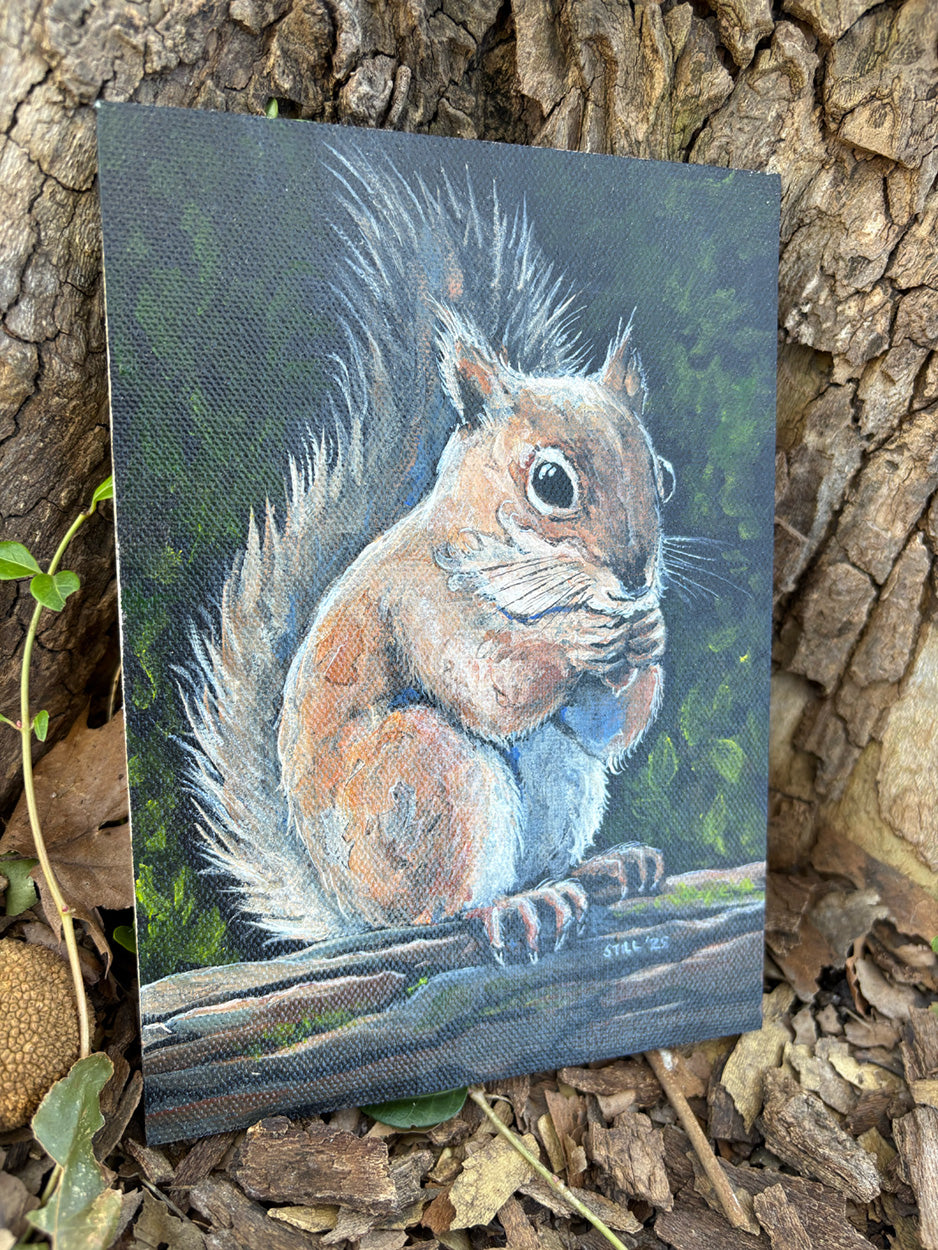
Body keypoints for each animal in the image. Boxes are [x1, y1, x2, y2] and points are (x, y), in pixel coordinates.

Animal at [184, 145, 675, 962]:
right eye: (551, 483)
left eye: (662, 477)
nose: (636, 577)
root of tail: (346, 908)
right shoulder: (420, 601)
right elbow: (491, 686)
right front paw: (579, 639)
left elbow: (603, 728)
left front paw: (648, 637)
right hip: (426, 774)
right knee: (438, 905)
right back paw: (512, 908)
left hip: (560, 785)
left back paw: (599, 871)